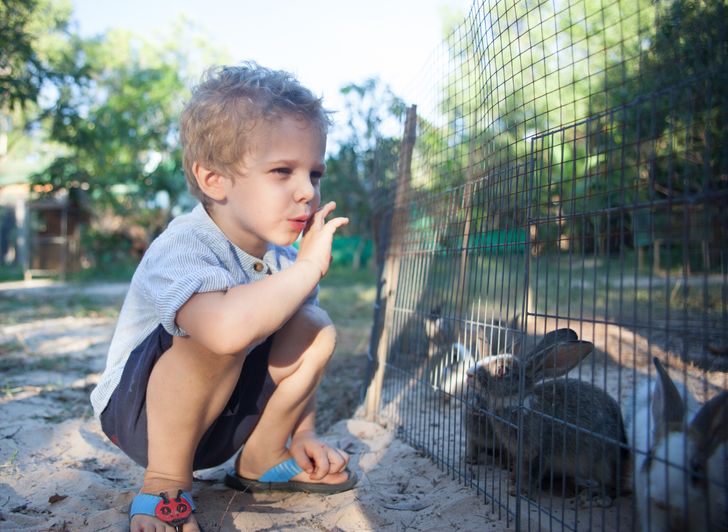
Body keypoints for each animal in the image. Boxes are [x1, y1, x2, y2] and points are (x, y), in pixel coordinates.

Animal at [466, 326, 632, 504]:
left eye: (502, 370)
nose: (469, 374)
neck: (519, 402)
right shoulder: (519, 454)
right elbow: (519, 470)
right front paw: (511, 481)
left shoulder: (540, 452)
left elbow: (532, 474)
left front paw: (520, 491)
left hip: (602, 464)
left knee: (610, 488)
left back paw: (591, 497)